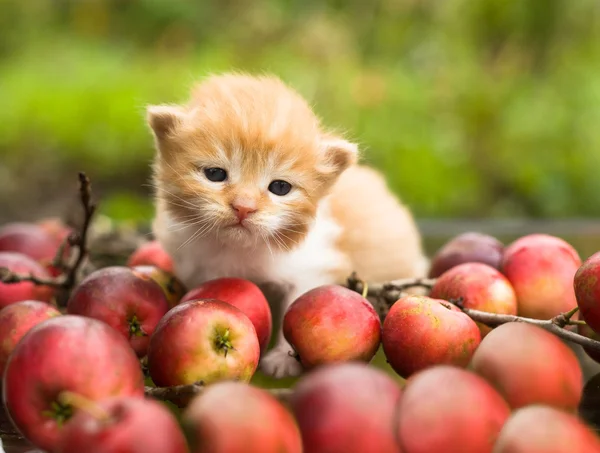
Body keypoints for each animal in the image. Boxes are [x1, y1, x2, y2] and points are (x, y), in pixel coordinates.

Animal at [146, 73, 426, 378]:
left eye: (280, 187)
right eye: (215, 174)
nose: (243, 207)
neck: (239, 247)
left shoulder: (312, 265)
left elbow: (296, 300)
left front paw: (283, 359)